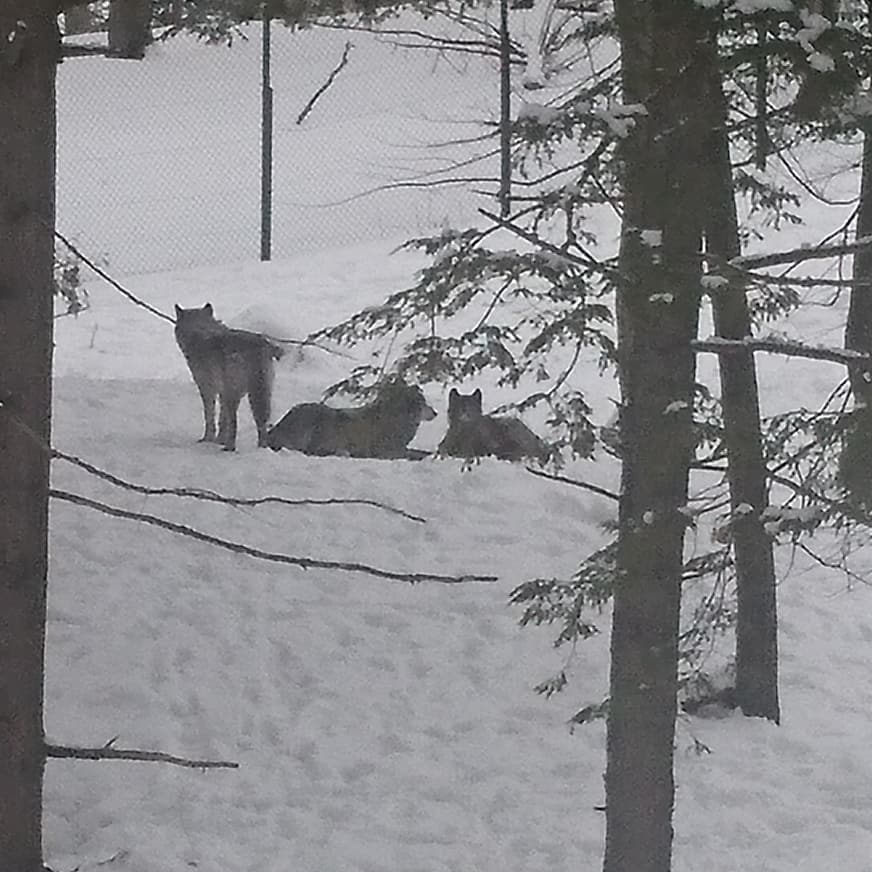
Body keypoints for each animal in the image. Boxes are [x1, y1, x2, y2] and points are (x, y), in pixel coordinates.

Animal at [174, 303, 284, 451]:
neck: (199, 331)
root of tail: (262, 344)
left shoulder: (208, 390)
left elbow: (210, 417)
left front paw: (208, 439)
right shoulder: (223, 393)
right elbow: (222, 419)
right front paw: (219, 440)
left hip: (236, 393)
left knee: (235, 423)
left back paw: (230, 448)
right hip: (260, 393)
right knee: (262, 424)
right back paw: (261, 448)